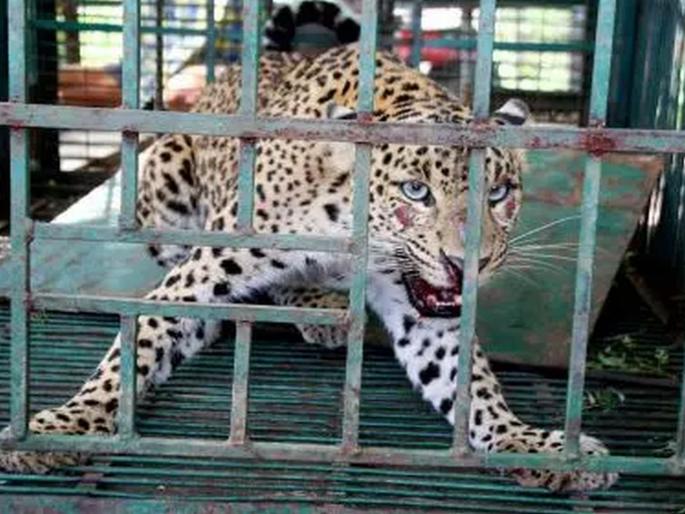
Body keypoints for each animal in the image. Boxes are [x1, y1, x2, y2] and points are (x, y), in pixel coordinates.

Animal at [0, 44, 617, 493]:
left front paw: (530, 444)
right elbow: (132, 353)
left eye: (500, 193)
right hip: (164, 182)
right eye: (416, 192)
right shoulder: (195, 278)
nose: (470, 263)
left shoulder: (425, 313)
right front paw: (61, 429)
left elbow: (474, 389)